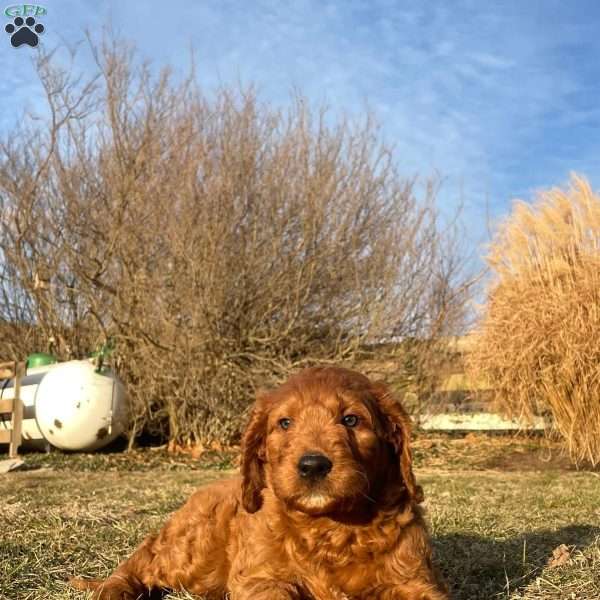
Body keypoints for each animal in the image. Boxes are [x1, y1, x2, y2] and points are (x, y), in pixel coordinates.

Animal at [70, 366, 448, 600]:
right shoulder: (260, 579)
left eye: (351, 420)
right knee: (143, 561)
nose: (313, 465)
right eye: (285, 423)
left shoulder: (413, 579)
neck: (331, 527)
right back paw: (112, 589)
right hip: (188, 553)